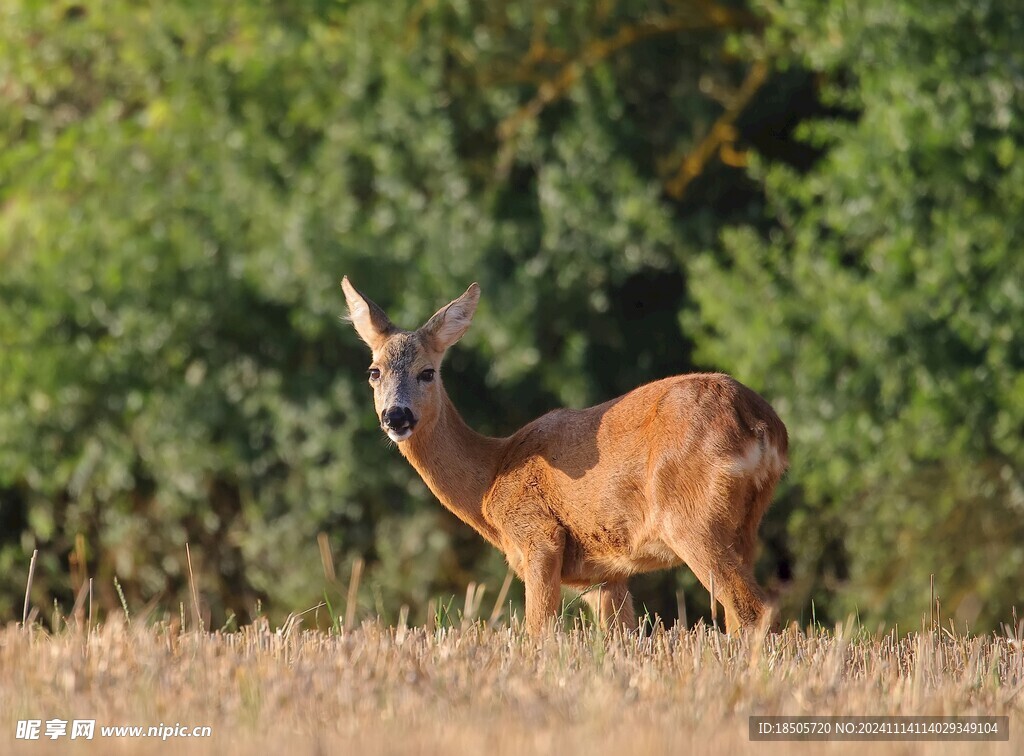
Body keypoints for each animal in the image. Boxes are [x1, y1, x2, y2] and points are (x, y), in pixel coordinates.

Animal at [339, 274, 786, 635]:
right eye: (374, 371)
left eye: (428, 372)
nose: (396, 416)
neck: (492, 479)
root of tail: (760, 424)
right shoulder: (602, 575)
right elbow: (622, 638)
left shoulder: (539, 536)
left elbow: (539, 634)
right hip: (746, 525)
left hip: (693, 519)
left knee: (754, 609)